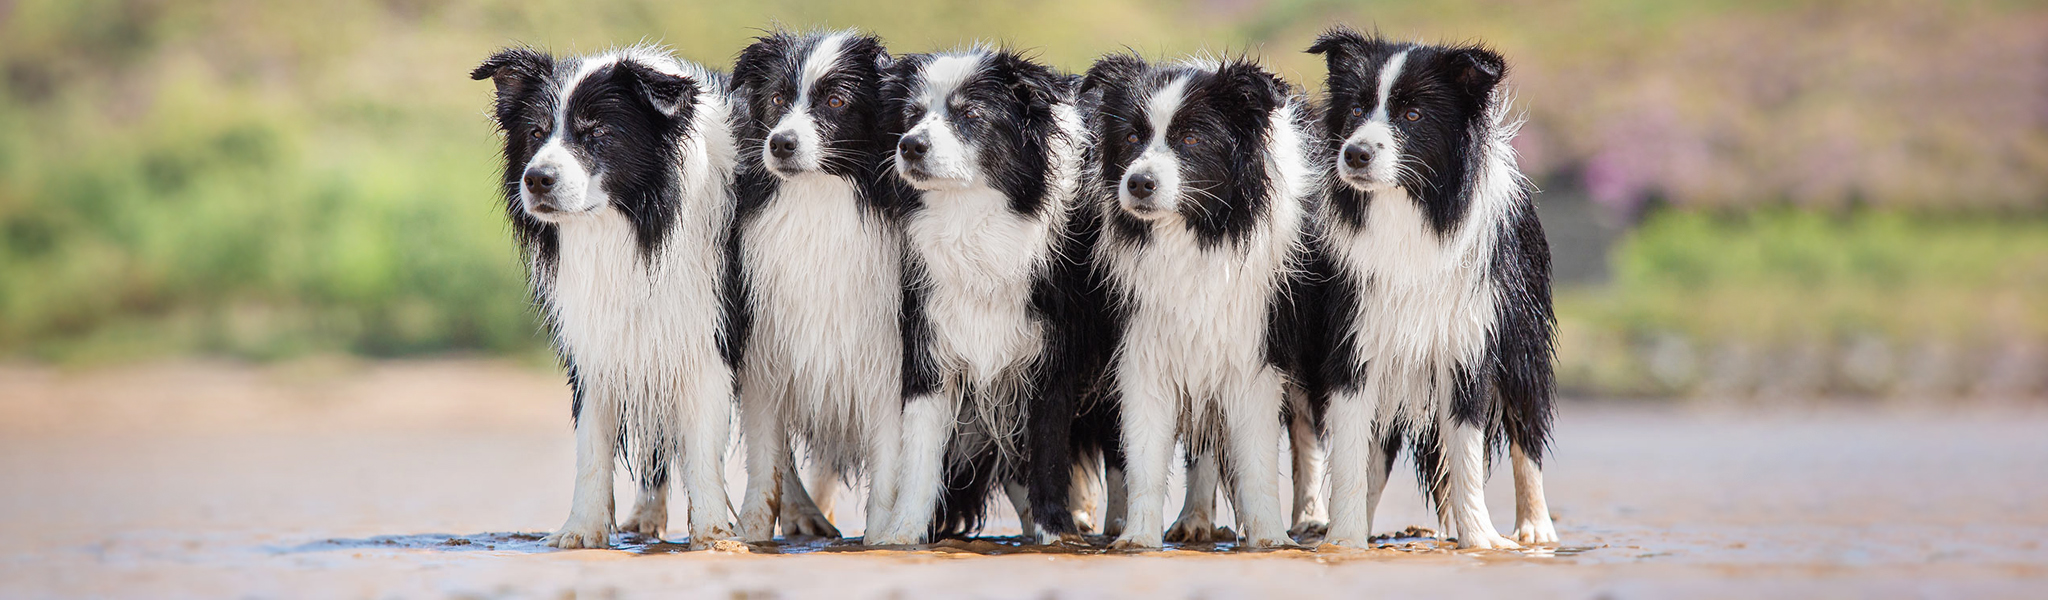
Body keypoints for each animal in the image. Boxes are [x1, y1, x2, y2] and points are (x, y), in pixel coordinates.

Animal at [471, 49, 745, 548]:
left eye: (597, 132)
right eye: (536, 132)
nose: (536, 178)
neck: (630, 225)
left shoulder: (707, 337)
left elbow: (702, 449)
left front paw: (715, 535)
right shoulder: (597, 338)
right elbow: (592, 446)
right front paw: (581, 530)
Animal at [729, 29, 905, 540]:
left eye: (836, 100)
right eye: (776, 98)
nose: (781, 144)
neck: (820, 204)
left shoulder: (889, 363)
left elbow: (889, 468)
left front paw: (881, 541)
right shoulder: (763, 356)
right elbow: (767, 462)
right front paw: (748, 535)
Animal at [868, 47, 1122, 540]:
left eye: (970, 114)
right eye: (911, 115)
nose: (910, 145)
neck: (973, 225)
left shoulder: (1051, 356)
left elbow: (1048, 451)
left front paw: (1055, 531)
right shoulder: (930, 343)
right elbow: (919, 455)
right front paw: (903, 533)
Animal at [1081, 54, 1318, 544]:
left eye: (1191, 138)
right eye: (1131, 137)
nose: (1139, 183)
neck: (1198, 233)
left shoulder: (1257, 351)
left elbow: (1258, 459)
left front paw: (1270, 538)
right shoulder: (1144, 348)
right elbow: (1145, 457)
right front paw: (1137, 538)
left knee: (1306, 436)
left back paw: (1310, 517)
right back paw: (1194, 519)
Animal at [1302, 30, 1556, 548]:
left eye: (1413, 115)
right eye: (1355, 109)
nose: (1355, 153)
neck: (1409, 212)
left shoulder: (1468, 347)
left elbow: (1467, 456)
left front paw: (1481, 541)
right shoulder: (1353, 344)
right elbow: (1352, 456)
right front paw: (1344, 541)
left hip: (1521, 342)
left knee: (1527, 431)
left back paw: (1535, 528)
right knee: (1374, 458)